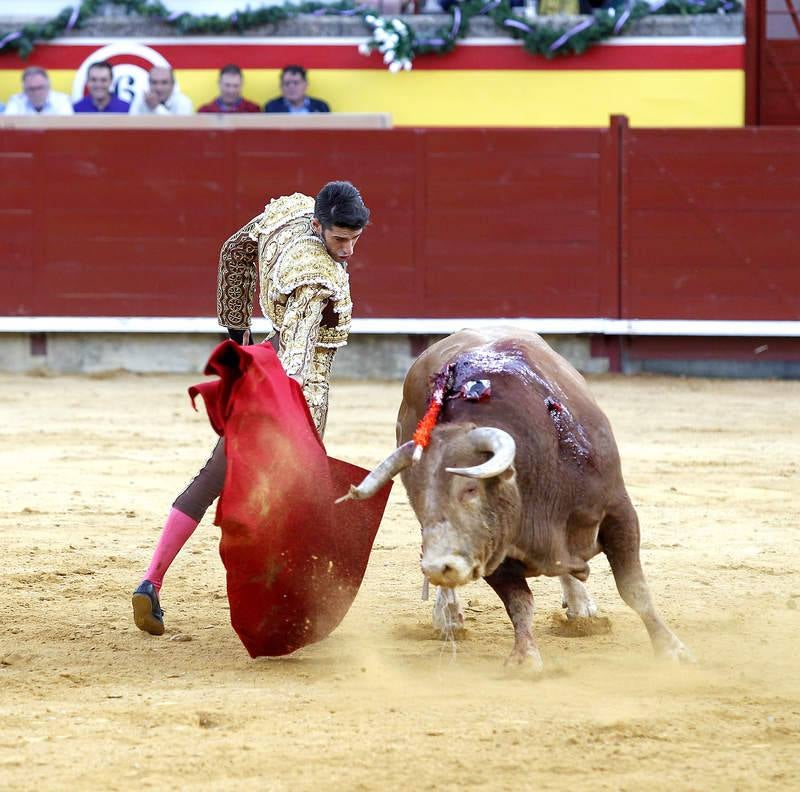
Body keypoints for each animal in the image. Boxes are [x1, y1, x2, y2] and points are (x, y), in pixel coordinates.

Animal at [340, 328, 692, 668]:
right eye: (418, 495)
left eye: (470, 489)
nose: (439, 566)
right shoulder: (492, 548)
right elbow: (520, 604)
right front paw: (524, 657)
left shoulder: (619, 512)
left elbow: (634, 589)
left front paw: (671, 649)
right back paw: (449, 616)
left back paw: (581, 609)